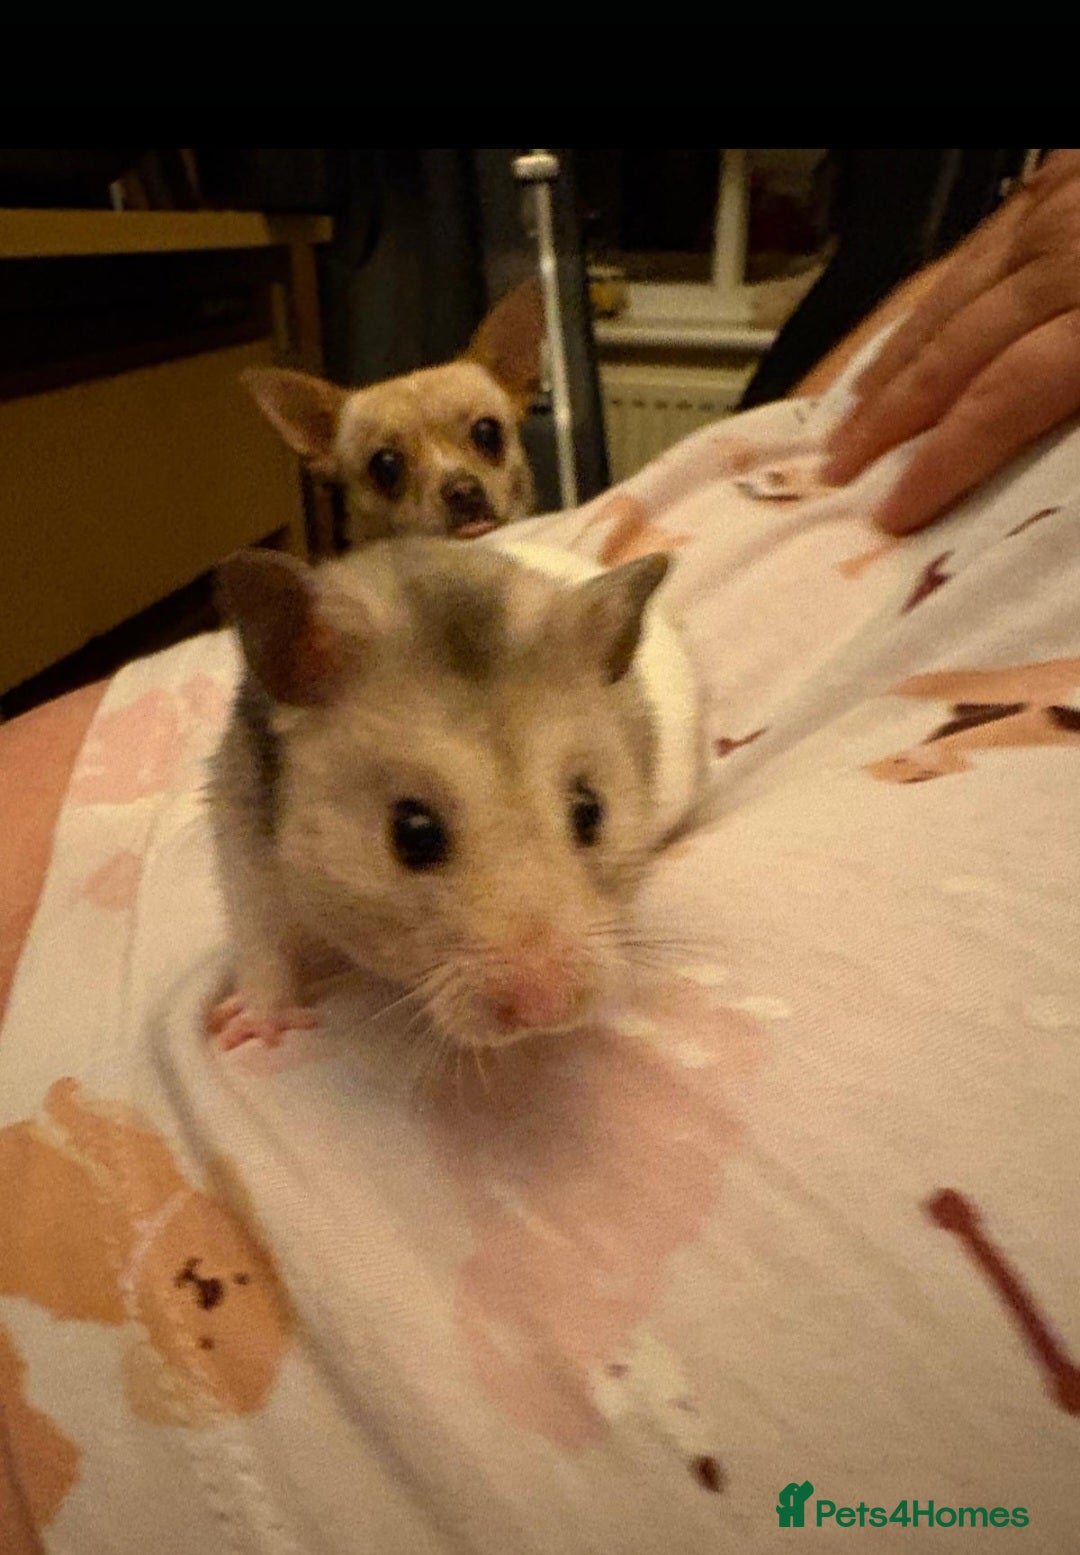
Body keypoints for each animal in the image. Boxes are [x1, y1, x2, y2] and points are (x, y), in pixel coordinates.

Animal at [207, 537, 701, 1052]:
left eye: (590, 811)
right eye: (411, 834)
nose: (546, 1012)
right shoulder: (241, 841)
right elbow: (260, 941)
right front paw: (249, 1033)